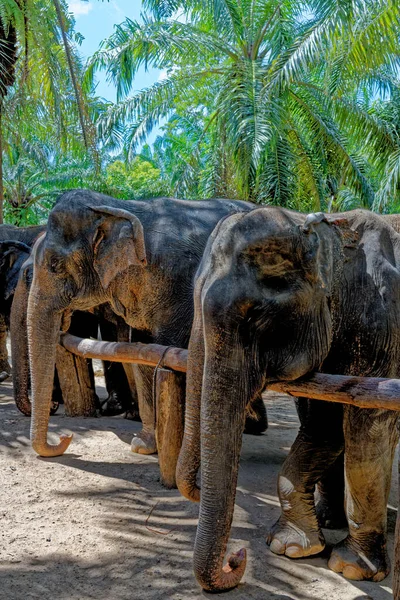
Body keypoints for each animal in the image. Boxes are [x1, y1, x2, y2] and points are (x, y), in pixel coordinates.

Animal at [26, 190, 268, 462]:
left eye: (55, 265)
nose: (66, 439)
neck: (118, 207)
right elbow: (142, 350)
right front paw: (143, 446)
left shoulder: (178, 284)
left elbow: (171, 350)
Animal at [177, 206, 400, 592]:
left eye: (253, 316)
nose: (237, 557)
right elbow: (323, 423)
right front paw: (289, 546)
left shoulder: (381, 326)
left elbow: (365, 427)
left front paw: (351, 568)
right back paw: (331, 518)